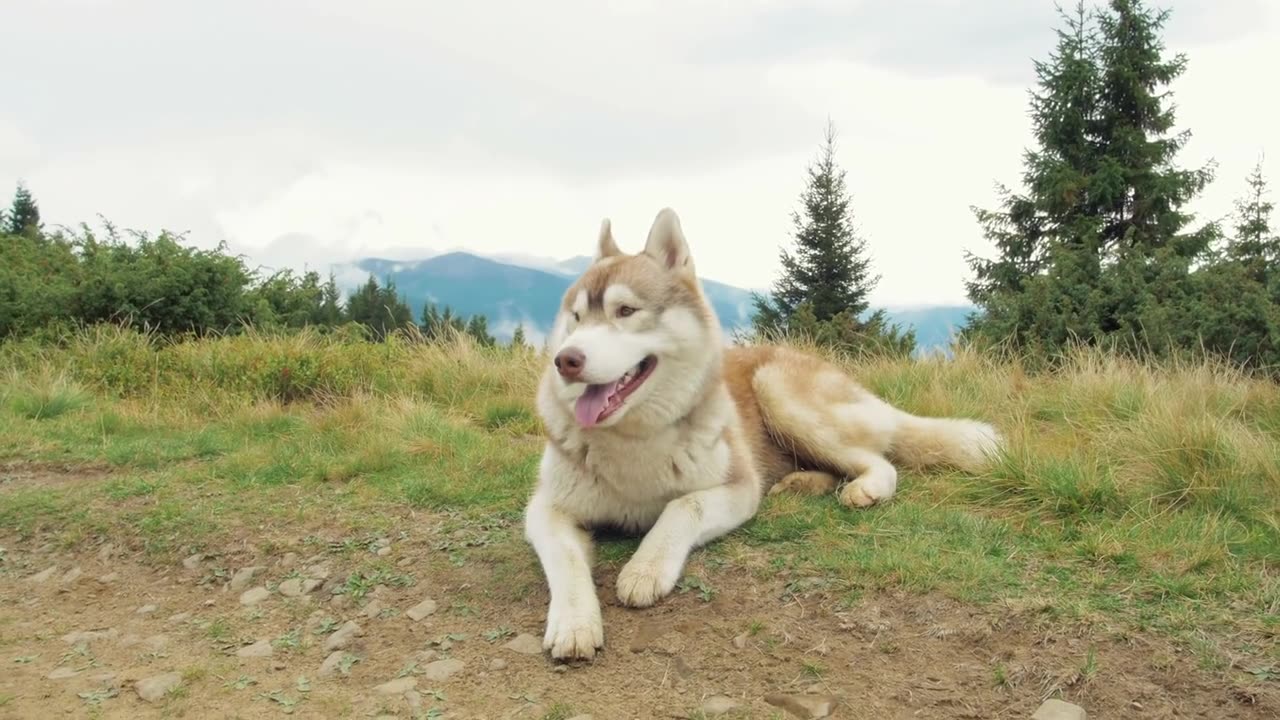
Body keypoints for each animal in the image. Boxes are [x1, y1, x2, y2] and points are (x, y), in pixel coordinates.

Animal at [519, 206, 998, 655]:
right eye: (576, 317)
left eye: (625, 311)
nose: (566, 360)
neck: (634, 440)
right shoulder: (547, 508)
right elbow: (565, 560)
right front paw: (574, 623)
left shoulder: (738, 488)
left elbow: (683, 506)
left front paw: (646, 567)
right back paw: (802, 483)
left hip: (778, 391)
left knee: (879, 459)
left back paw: (865, 488)